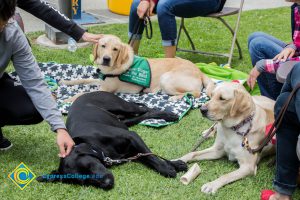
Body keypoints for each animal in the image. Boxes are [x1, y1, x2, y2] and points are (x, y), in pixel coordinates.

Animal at [37, 92, 188, 189]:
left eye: (89, 166)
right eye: (85, 182)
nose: (107, 184)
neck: (95, 144)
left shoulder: (132, 136)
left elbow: (151, 156)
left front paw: (168, 168)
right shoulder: (131, 151)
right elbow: (148, 157)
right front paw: (175, 165)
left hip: (121, 106)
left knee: (145, 108)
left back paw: (168, 115)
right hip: (125, 120)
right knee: (143, 114)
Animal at [59, 35, 212, 101]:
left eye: (115, 49)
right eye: (103, 46)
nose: (106, 59)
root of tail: (199, 70)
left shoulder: (105, 90)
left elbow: (83, 93)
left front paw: (68, 100)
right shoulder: (101, 81)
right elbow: (83, 79)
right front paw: (65, 81)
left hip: (166, 78)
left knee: (196, 93)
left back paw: (174, 98)